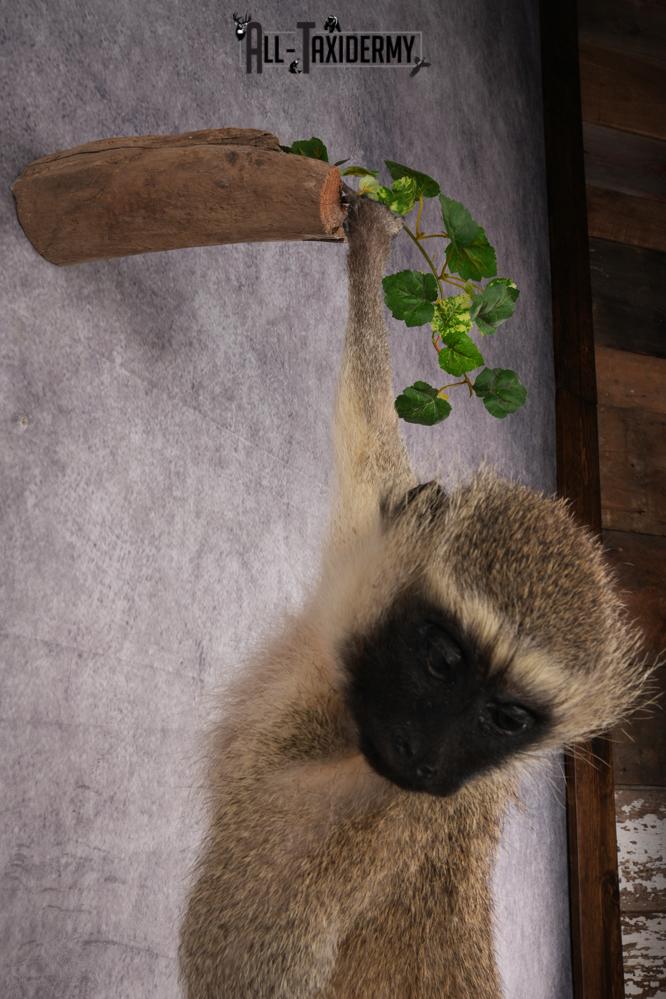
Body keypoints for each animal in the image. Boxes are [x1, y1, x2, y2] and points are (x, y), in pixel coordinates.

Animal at [179, 196, 650, 998]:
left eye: (507, 716)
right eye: (442, 661)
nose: (424, 757)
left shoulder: (301, 845)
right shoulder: (378, 526)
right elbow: (366, 412)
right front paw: (369, 239)